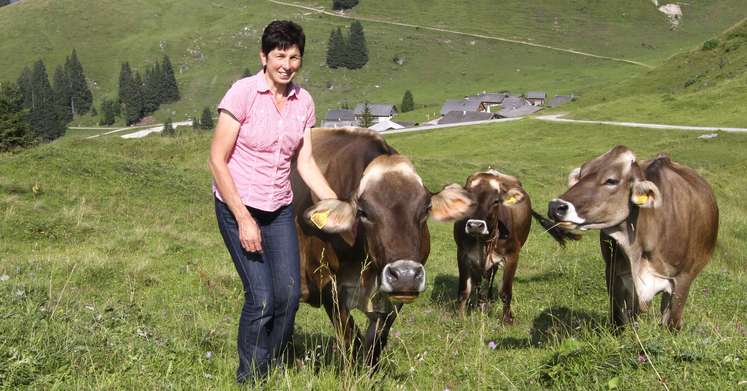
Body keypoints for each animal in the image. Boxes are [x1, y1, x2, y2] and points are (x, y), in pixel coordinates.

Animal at [292, 127, 474, 370]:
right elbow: (352, 340)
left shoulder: (394, 299)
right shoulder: (327, 285)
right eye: (363, 212)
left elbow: (375, 343)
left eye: (426, 208)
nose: (405, 275)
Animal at [452, 170, 576, 324]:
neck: (483, 240)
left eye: (496, 201)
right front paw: (460, 317)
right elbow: (464, 290)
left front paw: (507, 319)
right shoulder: (462, 254)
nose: (475, 225)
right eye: (467, 201)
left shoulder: (512, 256)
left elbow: (505, 292)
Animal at [548, 145, 720, 330]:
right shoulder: (614, 272)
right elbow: (618, 320)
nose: (555, 206)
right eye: (581, 174)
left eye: (611, 180)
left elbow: (672, 323)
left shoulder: (683, 280)